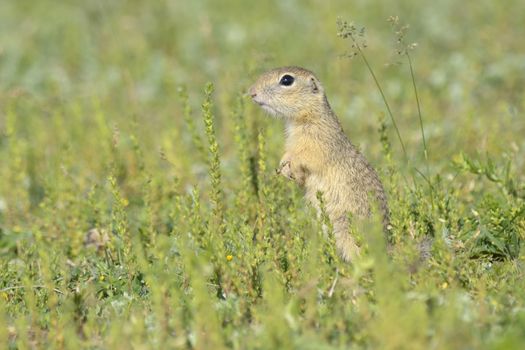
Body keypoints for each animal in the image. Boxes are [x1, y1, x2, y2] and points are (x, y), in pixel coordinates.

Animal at [249, 67, 388, 262]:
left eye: (286, 80)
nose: (252, 92)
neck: (304, 119)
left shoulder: (318, 142)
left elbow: (307, 157)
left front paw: (290, 168)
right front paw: (284, 168)